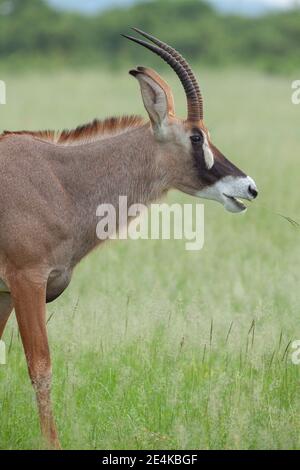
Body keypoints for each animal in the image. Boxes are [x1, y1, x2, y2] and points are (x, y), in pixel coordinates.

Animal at [0, 29, 258, 448]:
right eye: (196, 137)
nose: (250, 188)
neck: (60, 181)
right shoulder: (27, 281)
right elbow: (41, 366)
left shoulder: (6, 292)